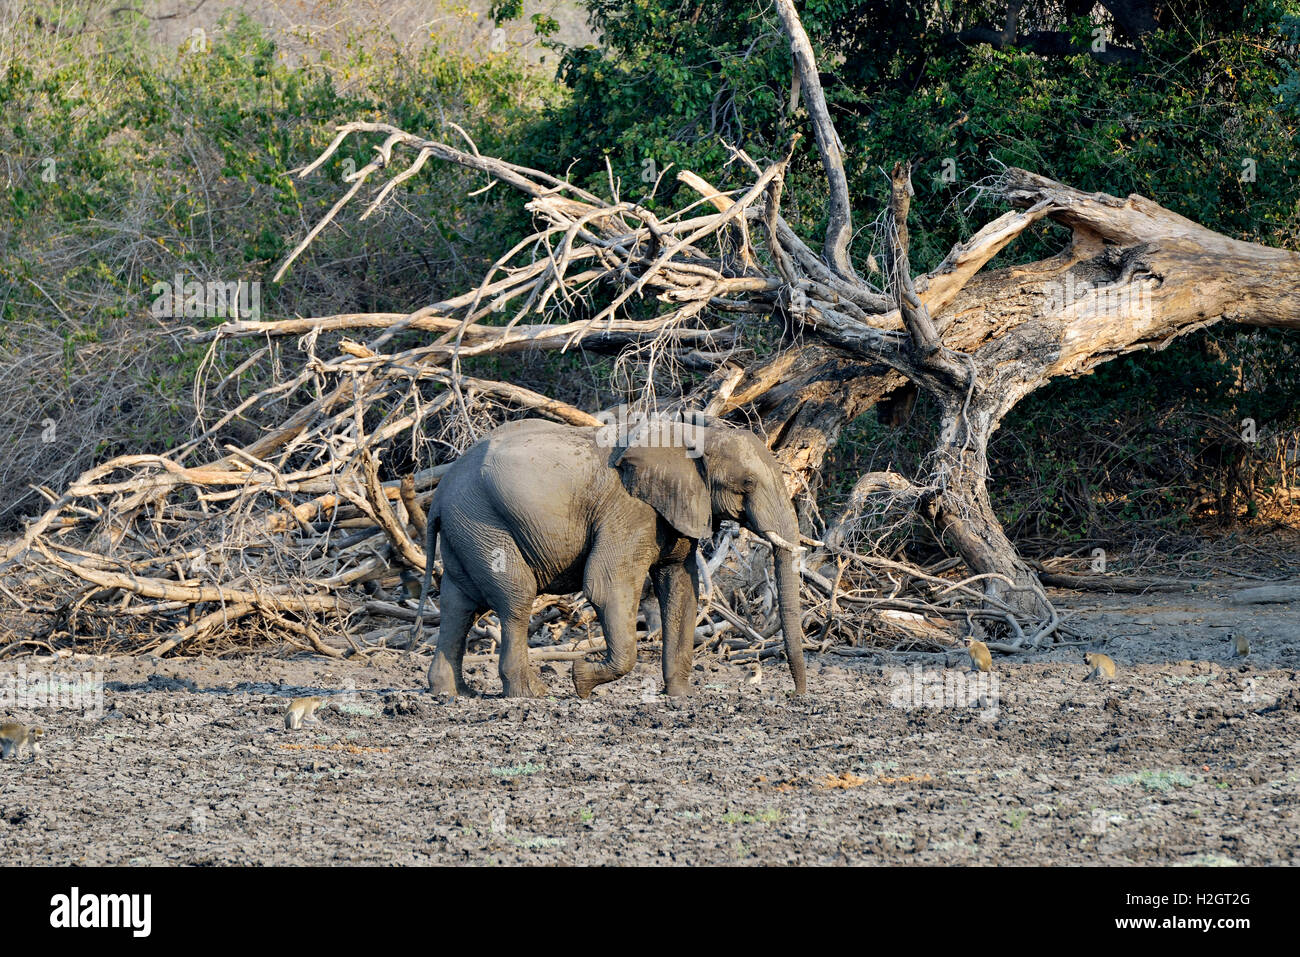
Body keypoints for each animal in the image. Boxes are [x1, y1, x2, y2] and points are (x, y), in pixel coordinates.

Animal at [410, 416, 806, 696]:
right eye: (747, 484)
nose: (796, 695)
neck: (690, 435)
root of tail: (440, 493)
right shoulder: (629, 510)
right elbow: (606, 586)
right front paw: (581, 680)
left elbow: (681, 588)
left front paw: (681, 697)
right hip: (482, 521)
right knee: (514, 599)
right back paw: (532, 694)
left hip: (466, 529)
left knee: (459, 604)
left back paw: (454, 693)